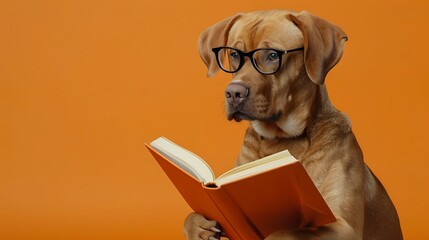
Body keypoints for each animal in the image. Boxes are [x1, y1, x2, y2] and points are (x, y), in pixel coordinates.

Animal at [183, 10, 402, 240]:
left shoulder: (345, 228)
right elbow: (191, 218)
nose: (233, 93)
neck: (280, 141)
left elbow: (285, 231)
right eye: (234, 54)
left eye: (272, 55)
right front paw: (199, 226)